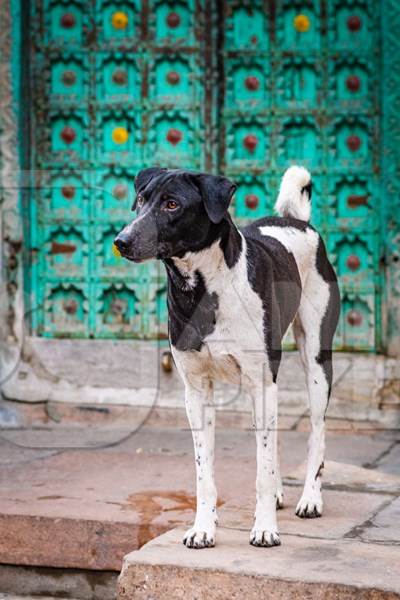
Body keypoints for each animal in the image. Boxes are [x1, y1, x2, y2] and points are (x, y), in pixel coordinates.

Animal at [115, 166, 340, 552]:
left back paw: (310, 497)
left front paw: (265, 528)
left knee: (317, 431)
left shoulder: (262, 384)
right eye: (141, 199)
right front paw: (203, 528)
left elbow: (262, 471)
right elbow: (204, 472)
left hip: (316, 361)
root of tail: (297, 221)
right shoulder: (197, 392)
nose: (121, 240)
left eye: (172, 204)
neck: (203, 289)